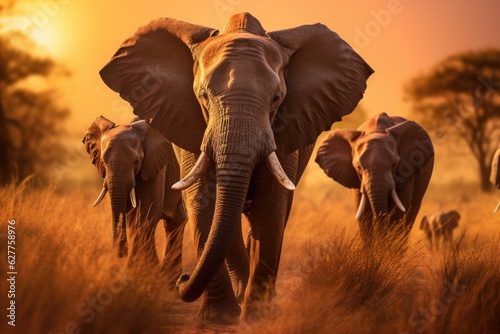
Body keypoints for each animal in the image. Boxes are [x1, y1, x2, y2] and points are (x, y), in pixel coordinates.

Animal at [83, 114, 187, 284]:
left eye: (136, 161)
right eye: (103, 162)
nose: (120, 253)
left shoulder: (155, 165)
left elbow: (148, 211)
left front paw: (139, 272)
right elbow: (131, 214)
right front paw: (137, 272)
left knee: (175, 221)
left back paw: (170, 279)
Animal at [98, 12, 372, 324]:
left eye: (277, 98)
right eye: (203, 96)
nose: (183, 279)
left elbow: (270, 207)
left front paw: (256, 316)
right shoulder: (189, 123)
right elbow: (205, 202)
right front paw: (218, 318)